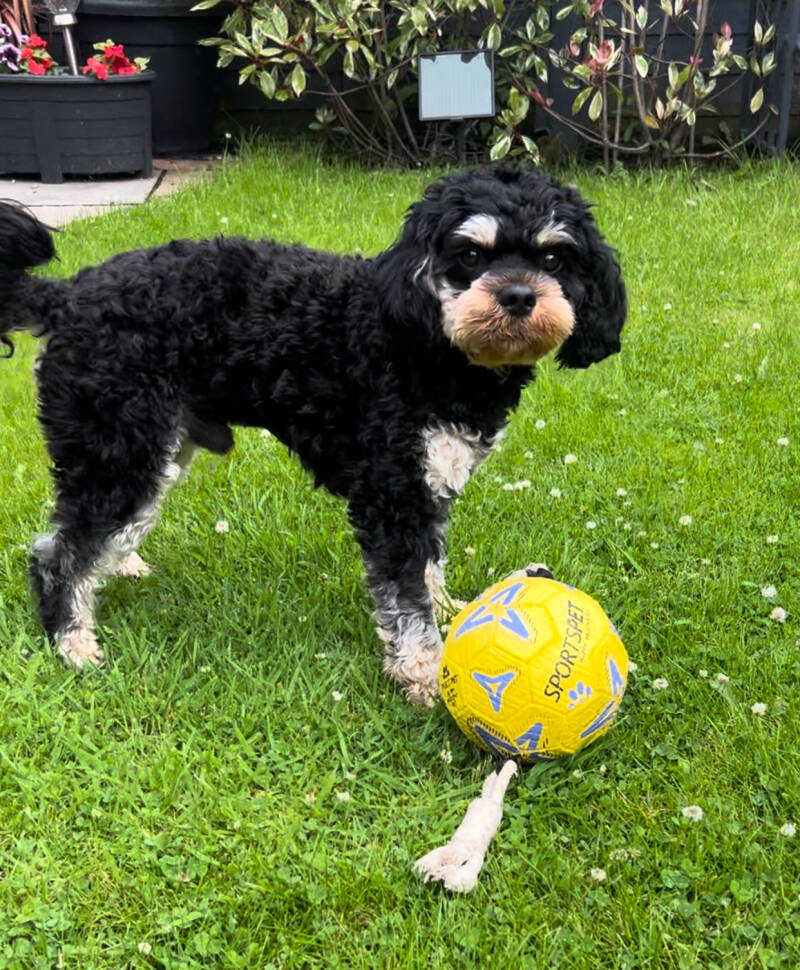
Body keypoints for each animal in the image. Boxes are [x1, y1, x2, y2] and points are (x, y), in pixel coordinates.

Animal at [0, 167, 625, 706]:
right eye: (469, 254)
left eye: (554, 256)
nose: (518, 297)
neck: (427, 346)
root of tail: (67, 297)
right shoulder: (391, 492)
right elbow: (408, 598)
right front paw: (427, 676)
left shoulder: (428, 486)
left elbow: (429, 569)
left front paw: (451, 615)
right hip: (117, 446)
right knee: (58, 553)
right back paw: (72, 642)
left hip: (156, 446)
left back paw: (117, 569)